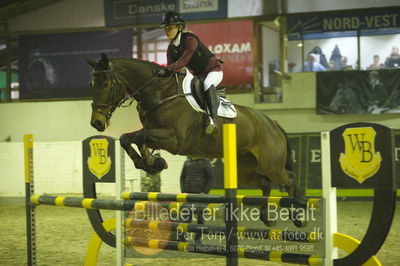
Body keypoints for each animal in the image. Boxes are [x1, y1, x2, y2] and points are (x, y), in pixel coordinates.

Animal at [85, 53, 304, 227]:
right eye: (91, 85)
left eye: (106, 84)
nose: (97, 123)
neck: (160, 92)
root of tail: (272, 123)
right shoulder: (154, 133)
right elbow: (128, 138)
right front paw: (151, 163)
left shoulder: (175, 140)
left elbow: (139, 137)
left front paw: (151, 162)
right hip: (245, 169)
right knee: (264, 182)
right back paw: (267, 217)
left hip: (271, 164)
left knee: (289, 179)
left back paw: (298, 215)